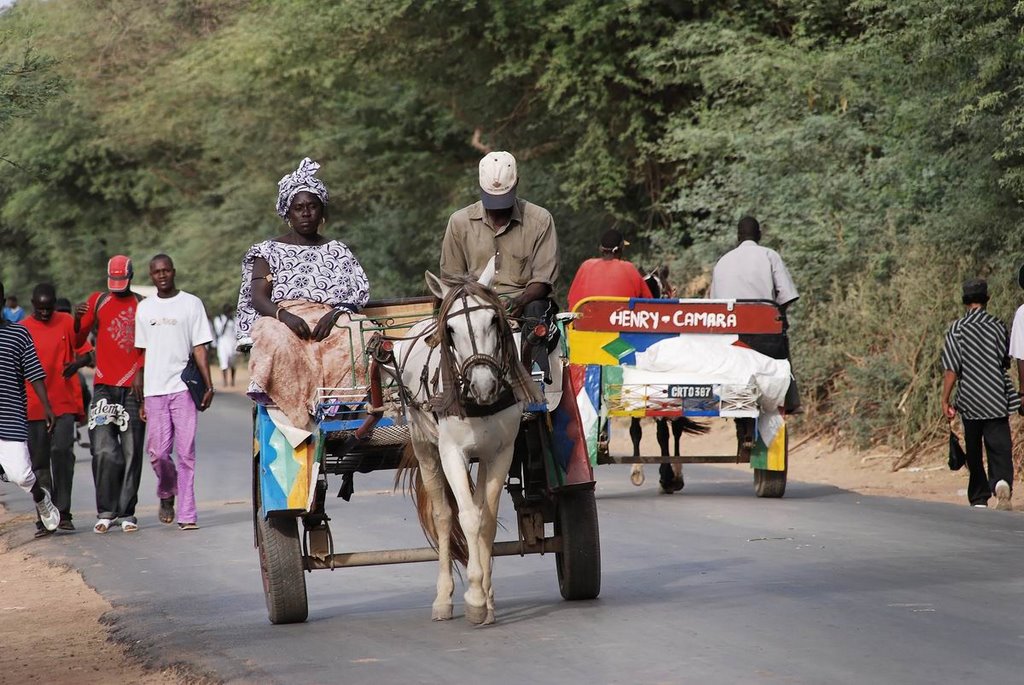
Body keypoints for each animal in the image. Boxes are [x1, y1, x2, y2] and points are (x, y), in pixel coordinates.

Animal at [387, 270, 540, 622]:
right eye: (451, 330)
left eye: (494, 320)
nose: (484, 385)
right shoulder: (451, 453)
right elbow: (466, 517)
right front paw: (473, 597)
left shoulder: (501, 452)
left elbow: (486, 519)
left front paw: (485, 596)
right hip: (424, 447)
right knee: (443, 515)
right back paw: (443, 599)